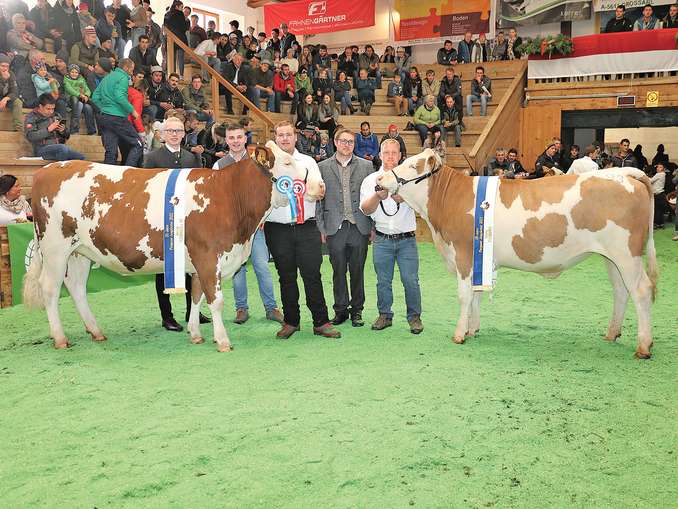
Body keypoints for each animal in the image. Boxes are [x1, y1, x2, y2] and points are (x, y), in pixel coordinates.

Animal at [22, 141, 326, 352]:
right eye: (287, 161)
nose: (320, 186)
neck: (228, 196)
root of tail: (46, 170)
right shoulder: (208, 256)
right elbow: (215, 300)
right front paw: (222, 340)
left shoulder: (200, 260)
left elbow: (197, 296)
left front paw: (196, 334)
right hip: (55, 247)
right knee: (50, 289)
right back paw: (60, 338)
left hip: (81, 251)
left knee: (76, 287)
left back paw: (96, 331)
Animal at [378, 149, 660, 358]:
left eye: (411, 165)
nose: (380, 180)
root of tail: (624, 173)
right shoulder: (480, 258)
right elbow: (477, 295)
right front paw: (472, 329)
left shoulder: (464, 255)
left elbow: (464, 295)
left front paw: (459, 334)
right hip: (612, 257)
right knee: (621, 291)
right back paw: (612, 333)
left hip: (626, 254)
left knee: (642, 291)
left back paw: (644, 346)